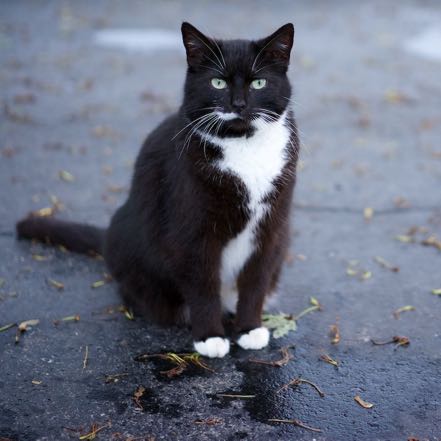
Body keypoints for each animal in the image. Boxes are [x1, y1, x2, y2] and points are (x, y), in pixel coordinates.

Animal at [16, 21, 300, 358]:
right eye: (217, 82)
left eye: (259, 83)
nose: (239, 104)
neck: (242, 145)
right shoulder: (192, 229)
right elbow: (203, 284)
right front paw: (210, 337)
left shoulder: (271, 226)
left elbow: (256, 279)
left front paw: (249, 329)